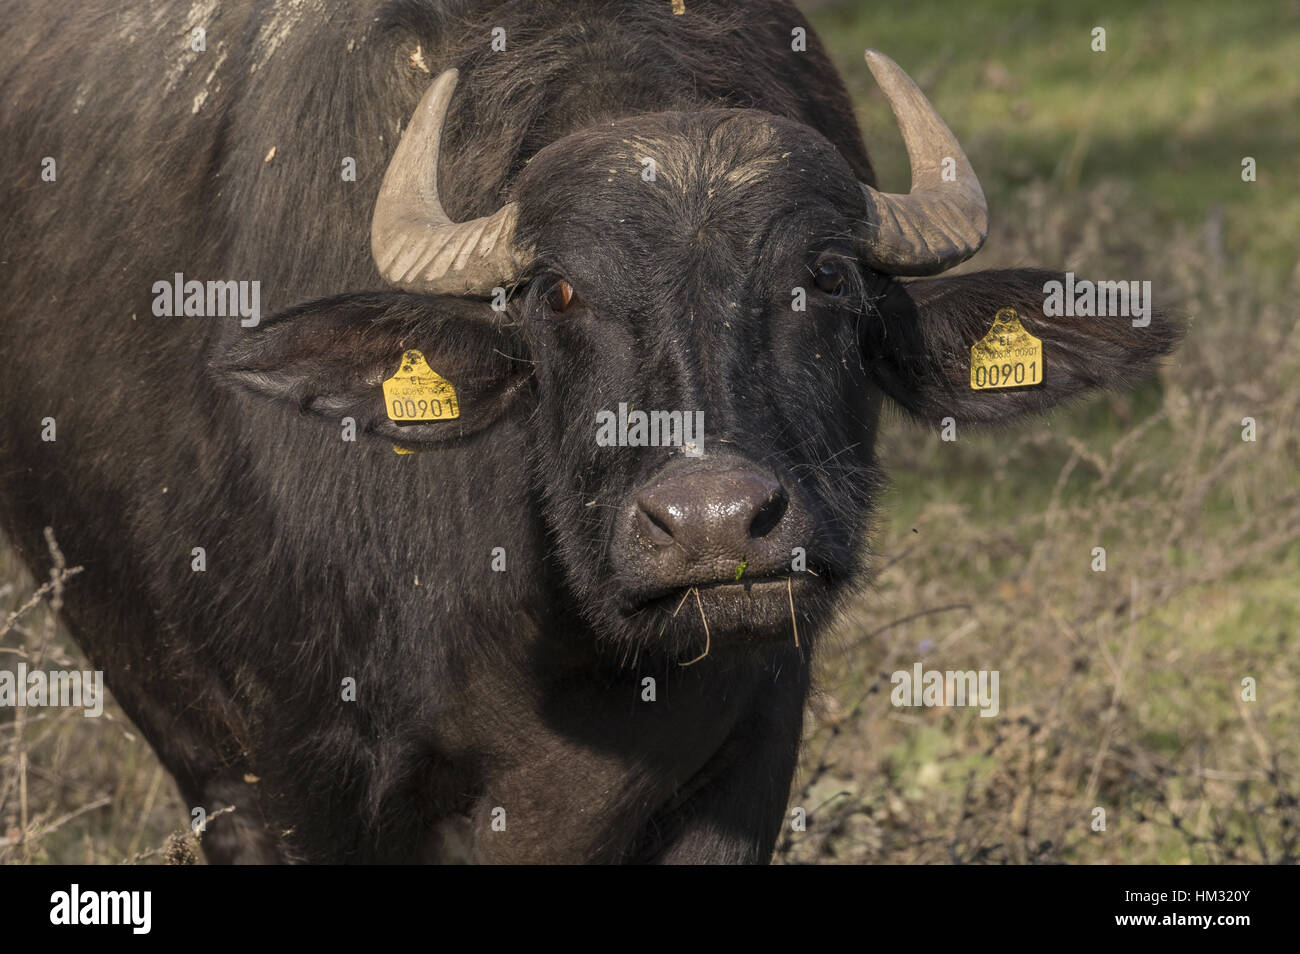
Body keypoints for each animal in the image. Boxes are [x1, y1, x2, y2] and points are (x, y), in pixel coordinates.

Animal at [0, 1, 1180, 868]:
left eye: (828, 275)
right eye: (557, 292)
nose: (715, 525)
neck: (567, 660)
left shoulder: (751, 753)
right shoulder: (291, 783)